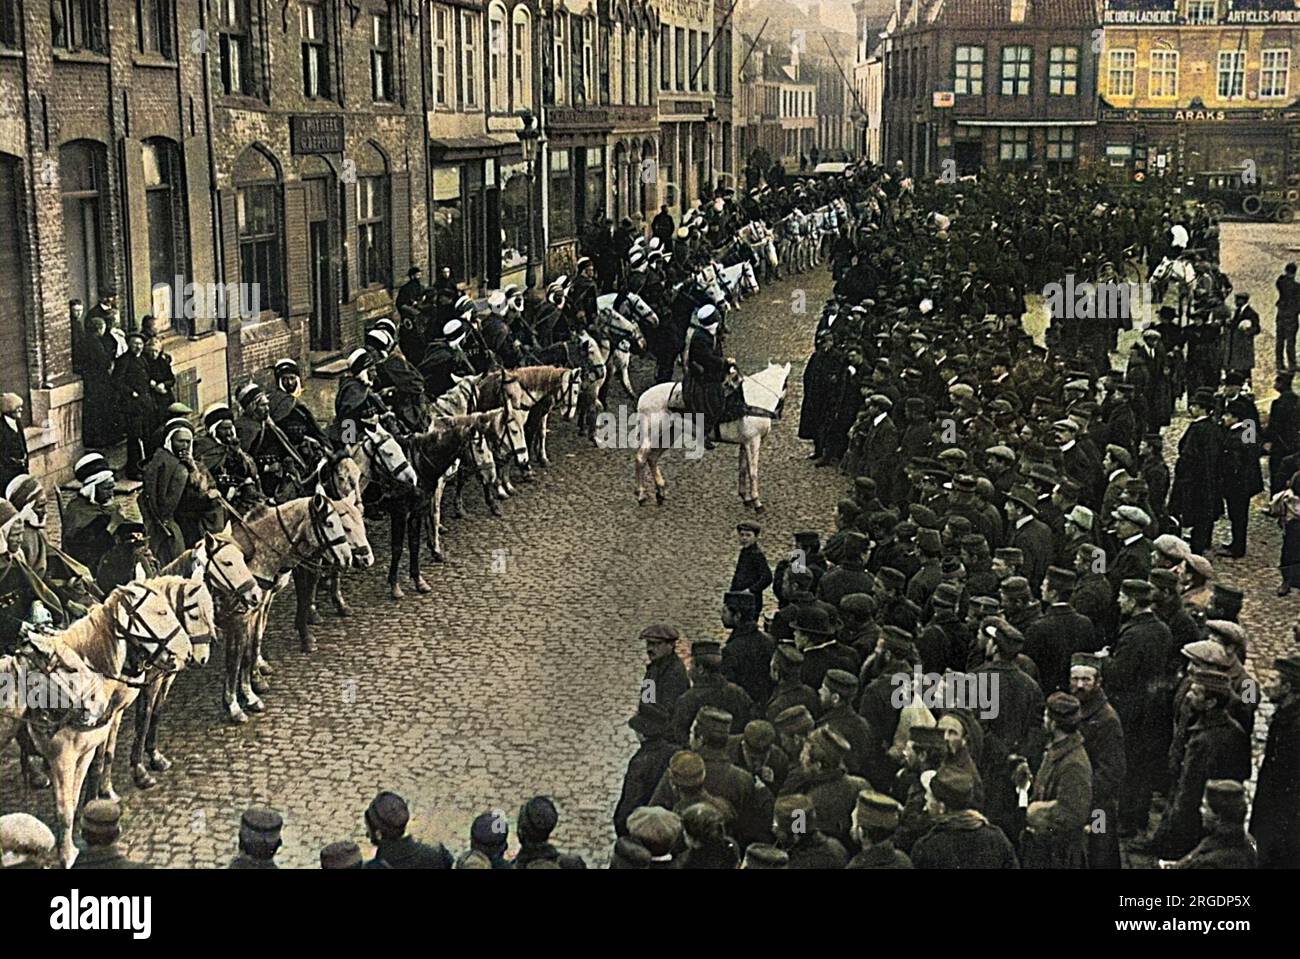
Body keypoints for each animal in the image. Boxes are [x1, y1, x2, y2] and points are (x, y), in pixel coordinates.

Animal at [631, 358, 785, 509]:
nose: (779, 412)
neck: (754, 402)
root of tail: (642, 398)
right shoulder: (754, 441)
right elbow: (753, 471)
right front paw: (756, 501)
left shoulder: (745, 442)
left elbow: (743, 469)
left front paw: (745, 497)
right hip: (651, 435)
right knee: (641, 458)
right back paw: (641, 494)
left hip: (668, 435)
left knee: (652, 458)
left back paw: (660, 491)